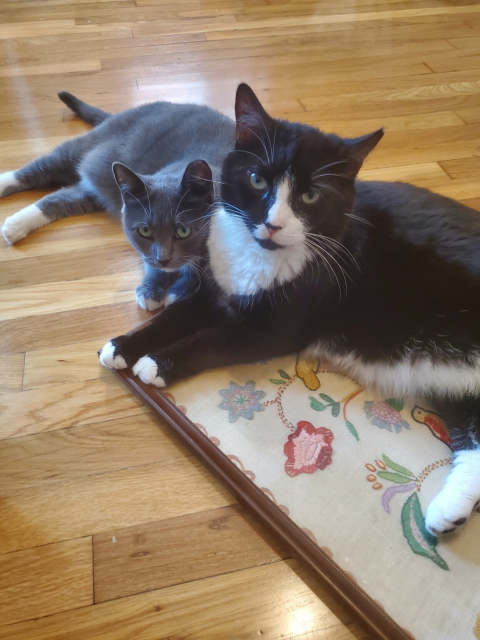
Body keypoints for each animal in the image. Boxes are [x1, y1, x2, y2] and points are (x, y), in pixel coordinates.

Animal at [0, 91, 235, 308]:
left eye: (183, 231)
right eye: (145, 231)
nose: (164, 258)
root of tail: (117, 115)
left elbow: (205, 272)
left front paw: (178, 291)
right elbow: (149, 258)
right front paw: (151, 290)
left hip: (94, 192)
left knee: (62, 198)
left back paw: (15, 226)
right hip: (85, 148)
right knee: (42, 167)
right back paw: (5, 192)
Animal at [100, 84, 480, 536]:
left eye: (311, 195)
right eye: (256, 179)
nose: (274, 223)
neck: (259, 255)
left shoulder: (273, 329)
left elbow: (210, 340)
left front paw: (157, 363)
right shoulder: (216, 289)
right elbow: (175, 316)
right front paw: (124, 345)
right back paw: (449, 512)